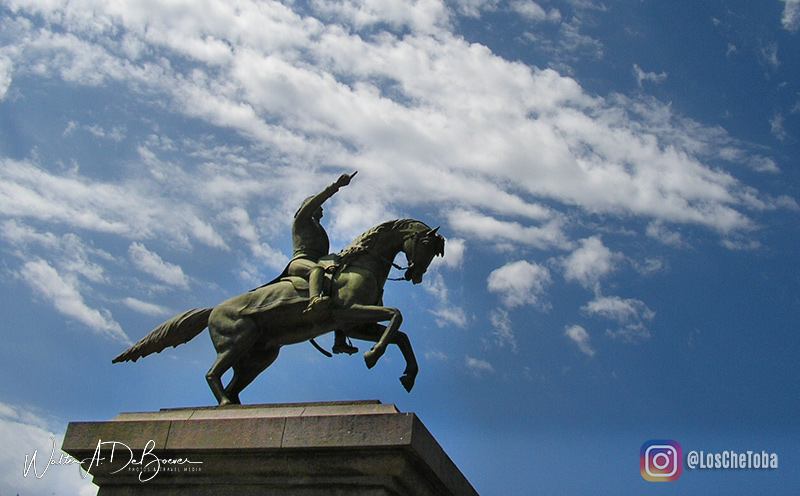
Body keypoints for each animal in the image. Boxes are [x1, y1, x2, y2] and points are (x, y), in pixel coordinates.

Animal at [114, 219, 444, 404]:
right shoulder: (350, 313)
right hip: (236, 343)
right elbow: (397, 316)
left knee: (233, 384)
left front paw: (408, 376)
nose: (416, 275)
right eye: (426, 246)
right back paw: (224, 405)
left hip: (259, 357)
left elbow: (401, 334)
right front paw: (373, 355)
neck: (361, 264)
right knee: (212, 375)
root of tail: (212, 310)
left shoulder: (355, 325)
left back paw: (233, 406)